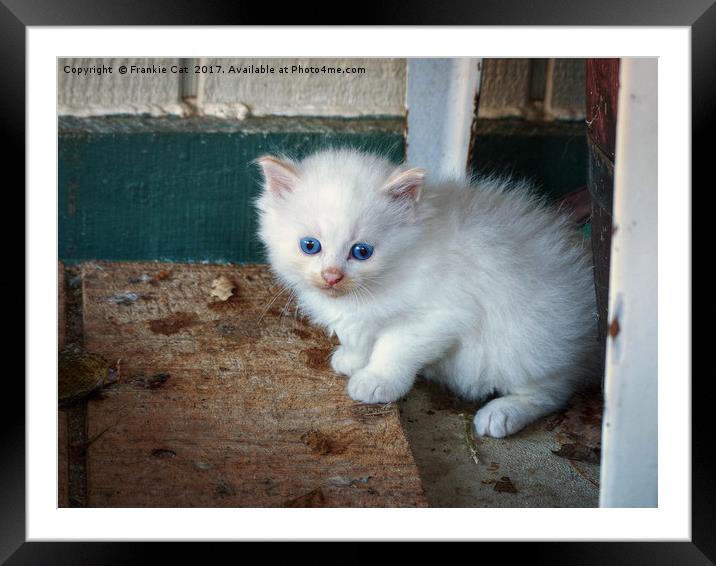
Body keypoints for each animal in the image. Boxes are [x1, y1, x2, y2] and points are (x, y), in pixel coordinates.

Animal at [255, 150, 596, 440]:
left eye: (362, 252)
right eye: (310, 246)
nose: (331, 276)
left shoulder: (440, 314)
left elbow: (393, 347)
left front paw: (376, 380)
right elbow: (359, 335)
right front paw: (352, 359)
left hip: (523, 344)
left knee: (552, 391)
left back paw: (502, 414)